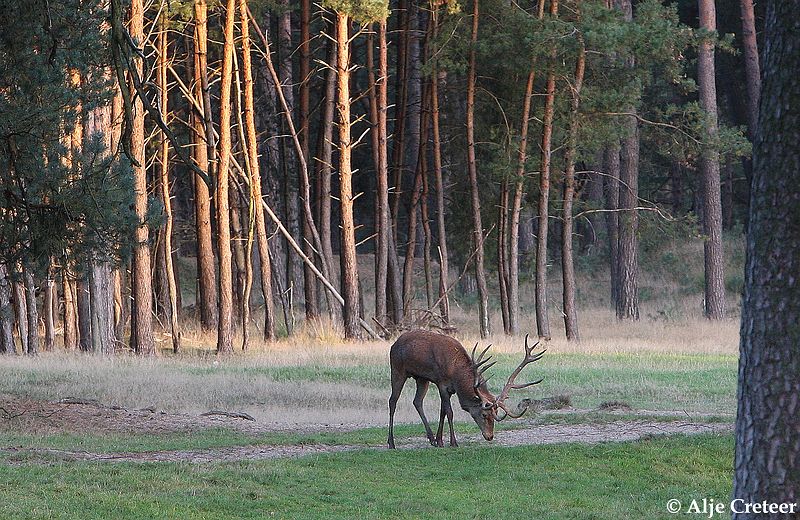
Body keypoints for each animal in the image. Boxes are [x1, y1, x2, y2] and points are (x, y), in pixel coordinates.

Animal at [386, 332, 544, 448]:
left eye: (495, 415)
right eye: (484, 415)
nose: (490, 436)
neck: (456, 374)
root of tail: (394, 344)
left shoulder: (449, 389)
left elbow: (442, 412)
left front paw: (439, 441)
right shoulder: (441, 383)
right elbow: (449, 412)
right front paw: (453, 442)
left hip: (421, 378)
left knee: (417, 401)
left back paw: (431, 439)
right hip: (397, 369)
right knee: (392, 401)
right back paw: (391, 443)